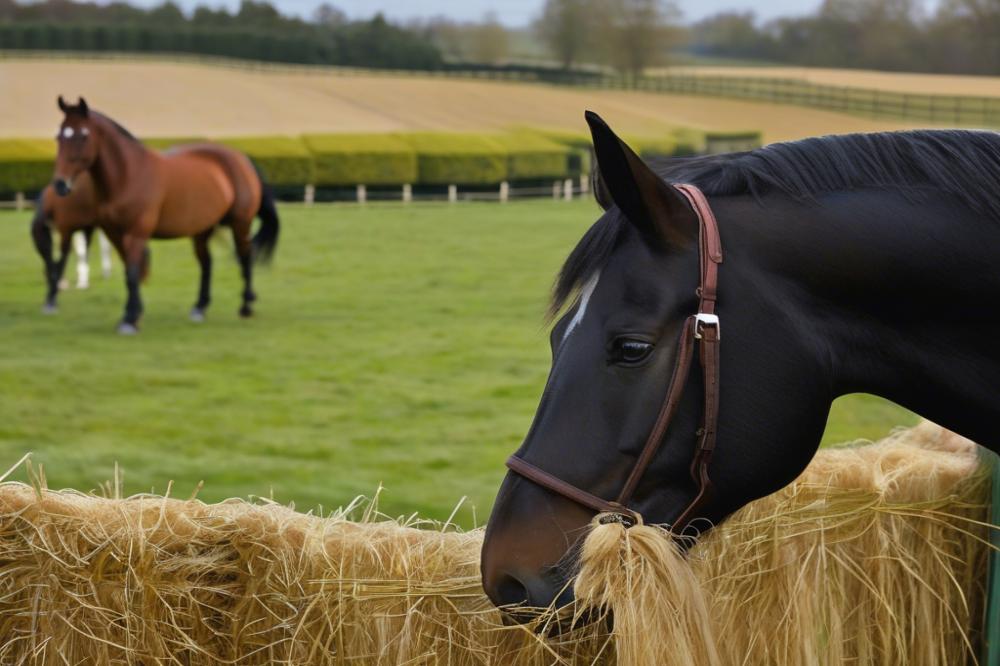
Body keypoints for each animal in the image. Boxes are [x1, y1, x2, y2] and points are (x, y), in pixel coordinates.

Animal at [52, 94, 280, 332]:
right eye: (59, 136)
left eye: (83, 135)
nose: (60, 184)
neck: (128, 175)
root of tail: (241, 158)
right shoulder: (114, 234)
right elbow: (130, 272)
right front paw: (135, 314)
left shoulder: (137, 233)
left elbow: (132, 273)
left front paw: (129, 319)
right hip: (203, 229)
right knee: (207, 263)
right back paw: (200, 307)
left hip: (240, 224)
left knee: (245, 256)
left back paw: (246, 306)